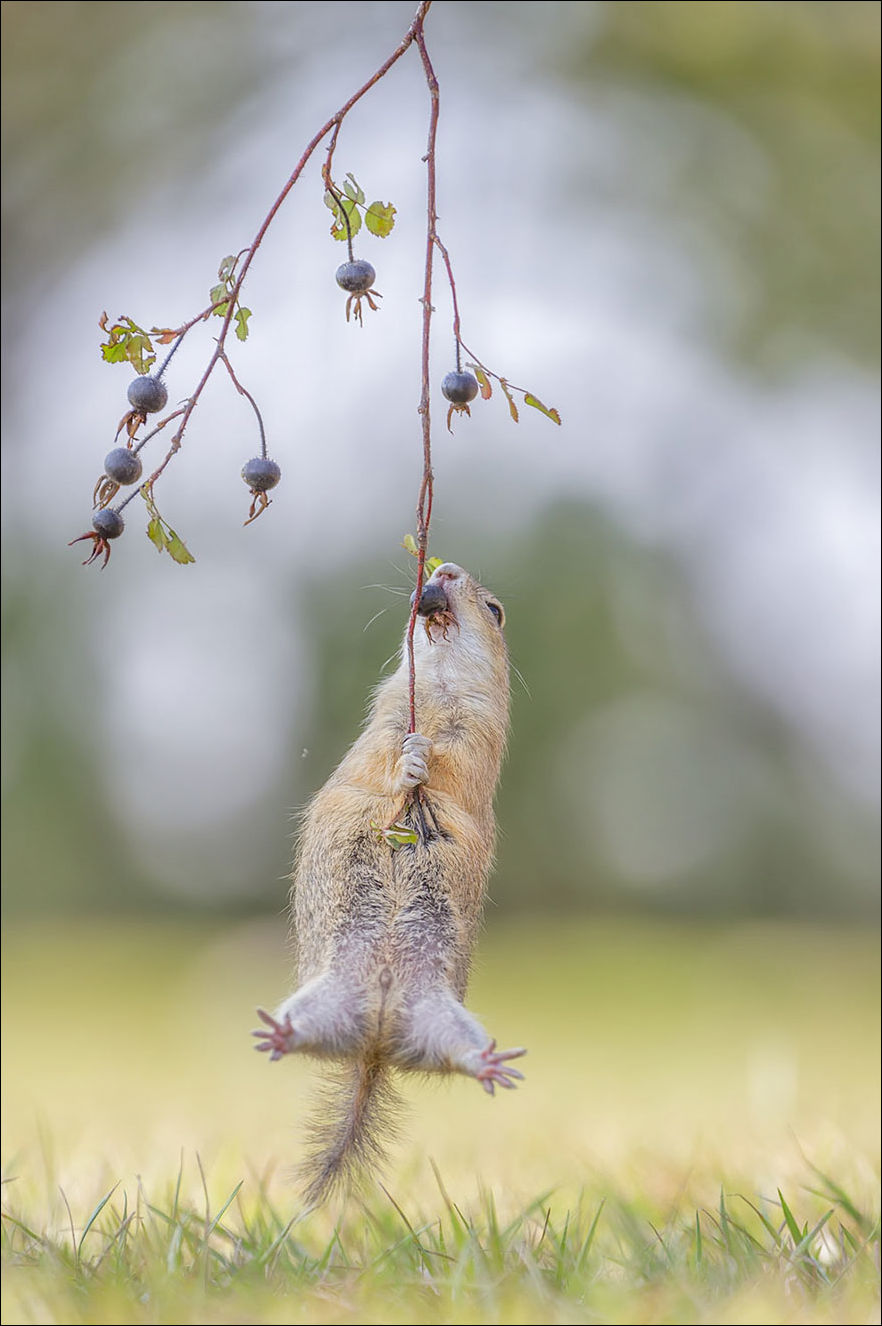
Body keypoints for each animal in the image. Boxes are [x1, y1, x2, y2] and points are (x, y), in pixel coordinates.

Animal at [250, 559, 522, 1204]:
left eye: (496, 611)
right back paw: (280, 1034)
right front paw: (409, 762)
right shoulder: (384, 721)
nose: (444, 567)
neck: (438, 688)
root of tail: (373, 1044)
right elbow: (382, 760)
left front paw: (422, 759)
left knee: (453, 1055)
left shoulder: (479, 735)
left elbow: (455, 765)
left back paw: (489, 1063)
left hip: (439, 1017)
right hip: (332, 999)